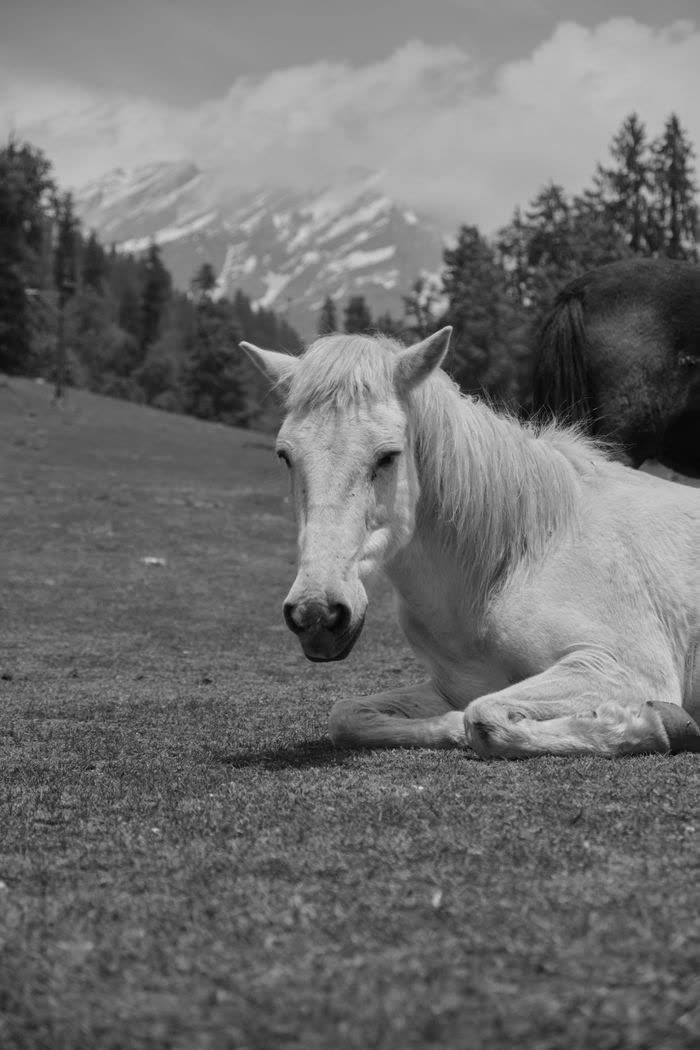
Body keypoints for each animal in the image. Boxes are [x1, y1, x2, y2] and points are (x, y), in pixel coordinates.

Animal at [241, 327, 700, 759]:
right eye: (285, 456)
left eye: (388, 455)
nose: (316, 614)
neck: (524, 555)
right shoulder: (452, 688)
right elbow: (349, 716)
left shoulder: (623, 669)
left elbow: (483, 716)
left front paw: (651, 724)